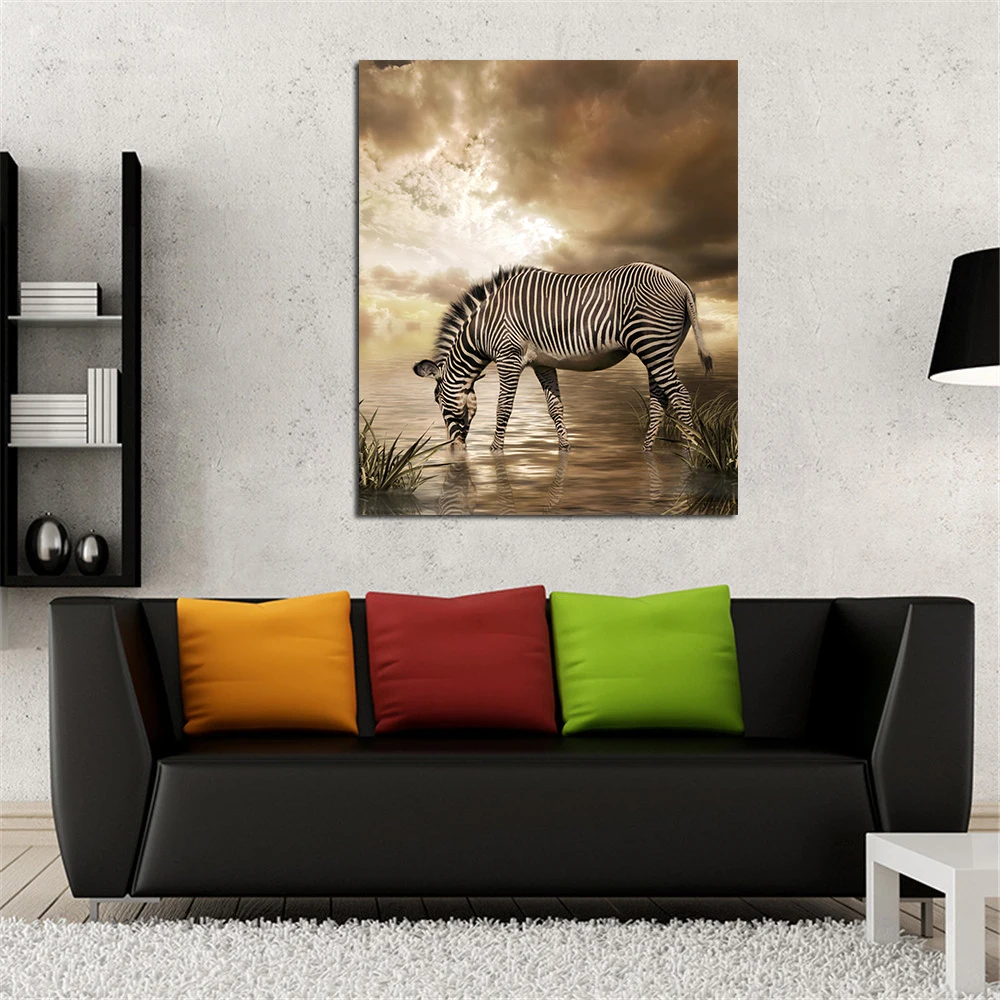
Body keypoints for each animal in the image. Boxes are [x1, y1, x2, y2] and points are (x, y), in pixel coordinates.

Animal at [413, 262, 712, 452]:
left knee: (679, 396)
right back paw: (647, 450)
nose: (455, 450)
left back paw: (691, 449)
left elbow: (504, 407)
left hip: (652, 344)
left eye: (438, 401)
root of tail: (680, 282)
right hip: (658, 350)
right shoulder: (542, 363)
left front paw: (495, 450)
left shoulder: (508, 357)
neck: (483, 328)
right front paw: (564, 446)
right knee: (660, 399)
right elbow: (554, 407)